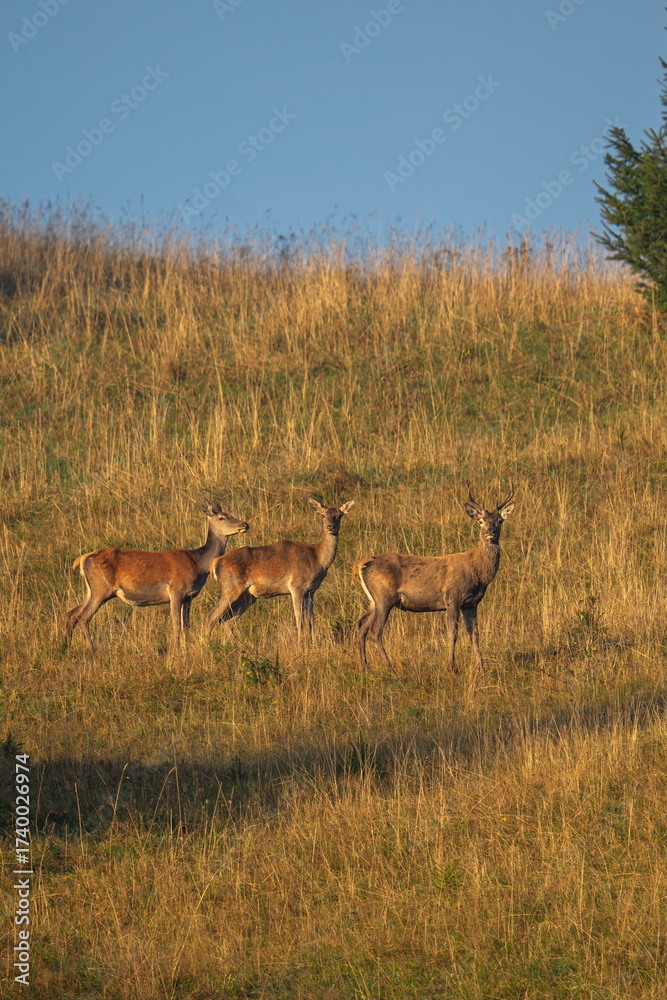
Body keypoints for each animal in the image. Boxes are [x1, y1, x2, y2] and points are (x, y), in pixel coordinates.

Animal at [65, 498, 249, 653]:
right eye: (222, 517)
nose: (245, 524)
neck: (199, 563)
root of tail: (82, 559)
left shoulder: (189, 596)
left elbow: (186, 625)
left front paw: (187, 650)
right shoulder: (176, 590)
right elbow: (176, 624)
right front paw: (176, 652)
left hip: (91, 590)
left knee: (72, 613)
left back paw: (66, 646)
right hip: (100, 588)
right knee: (83, 617)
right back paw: (91, 649)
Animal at [205, 498, 355, 641]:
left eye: (339, 515)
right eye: (323, 515)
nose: (331, 527)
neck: (317, 559)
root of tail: (215, 562)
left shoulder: (311, 591)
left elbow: (311, 620)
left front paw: (313, 643)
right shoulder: (296, 586)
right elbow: (299, 619)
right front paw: (300, 643)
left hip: (247, 596)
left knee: (226, 621)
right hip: (230, 588)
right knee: (211, 617)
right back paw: (207, 645)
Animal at [354, 481, 515, 672]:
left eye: (500, 521)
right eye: (481, 521)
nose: (490, 531)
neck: (477, 572)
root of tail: (360, 566)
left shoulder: (472, 603)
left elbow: (474, 635)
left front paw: (481, 668)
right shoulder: (452, 596)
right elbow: (453, 633)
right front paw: (450, 666)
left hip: (374, 600)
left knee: (361, 625)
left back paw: (364, 666)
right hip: (384, 597)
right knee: (375, 630)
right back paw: (389, 667)